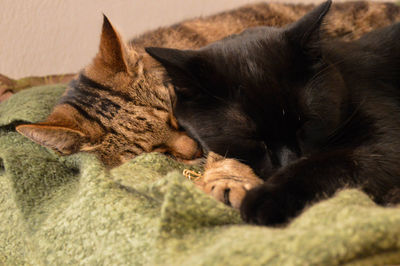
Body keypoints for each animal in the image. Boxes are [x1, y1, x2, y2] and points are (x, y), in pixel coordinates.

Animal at [146, 0, 400, 227]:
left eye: (306, 124)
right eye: (251, 139)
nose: (290, 161)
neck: (344, 77)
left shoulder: (385, 140)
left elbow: (332, 161)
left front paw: (266, 198)